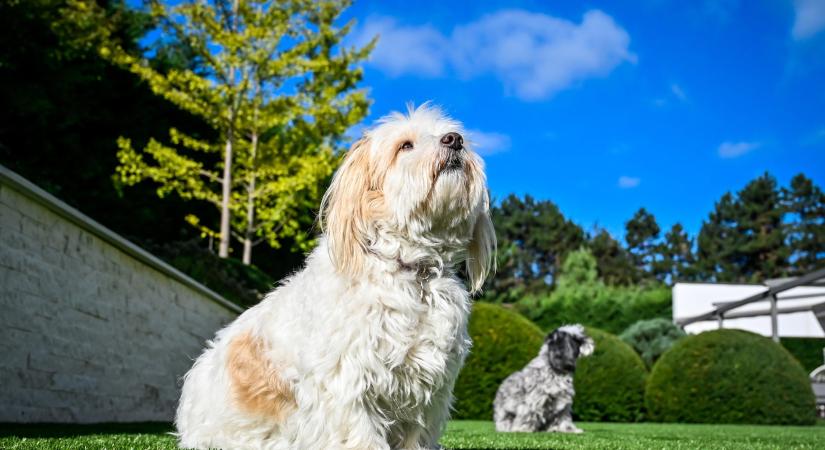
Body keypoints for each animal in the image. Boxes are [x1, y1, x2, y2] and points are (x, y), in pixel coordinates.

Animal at [175, 103, 496, 448]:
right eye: (405, 146)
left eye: (453, 134)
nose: (454, 140)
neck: (411, 270)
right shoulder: (347, 381)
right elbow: (360, 434)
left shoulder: (428, 390)